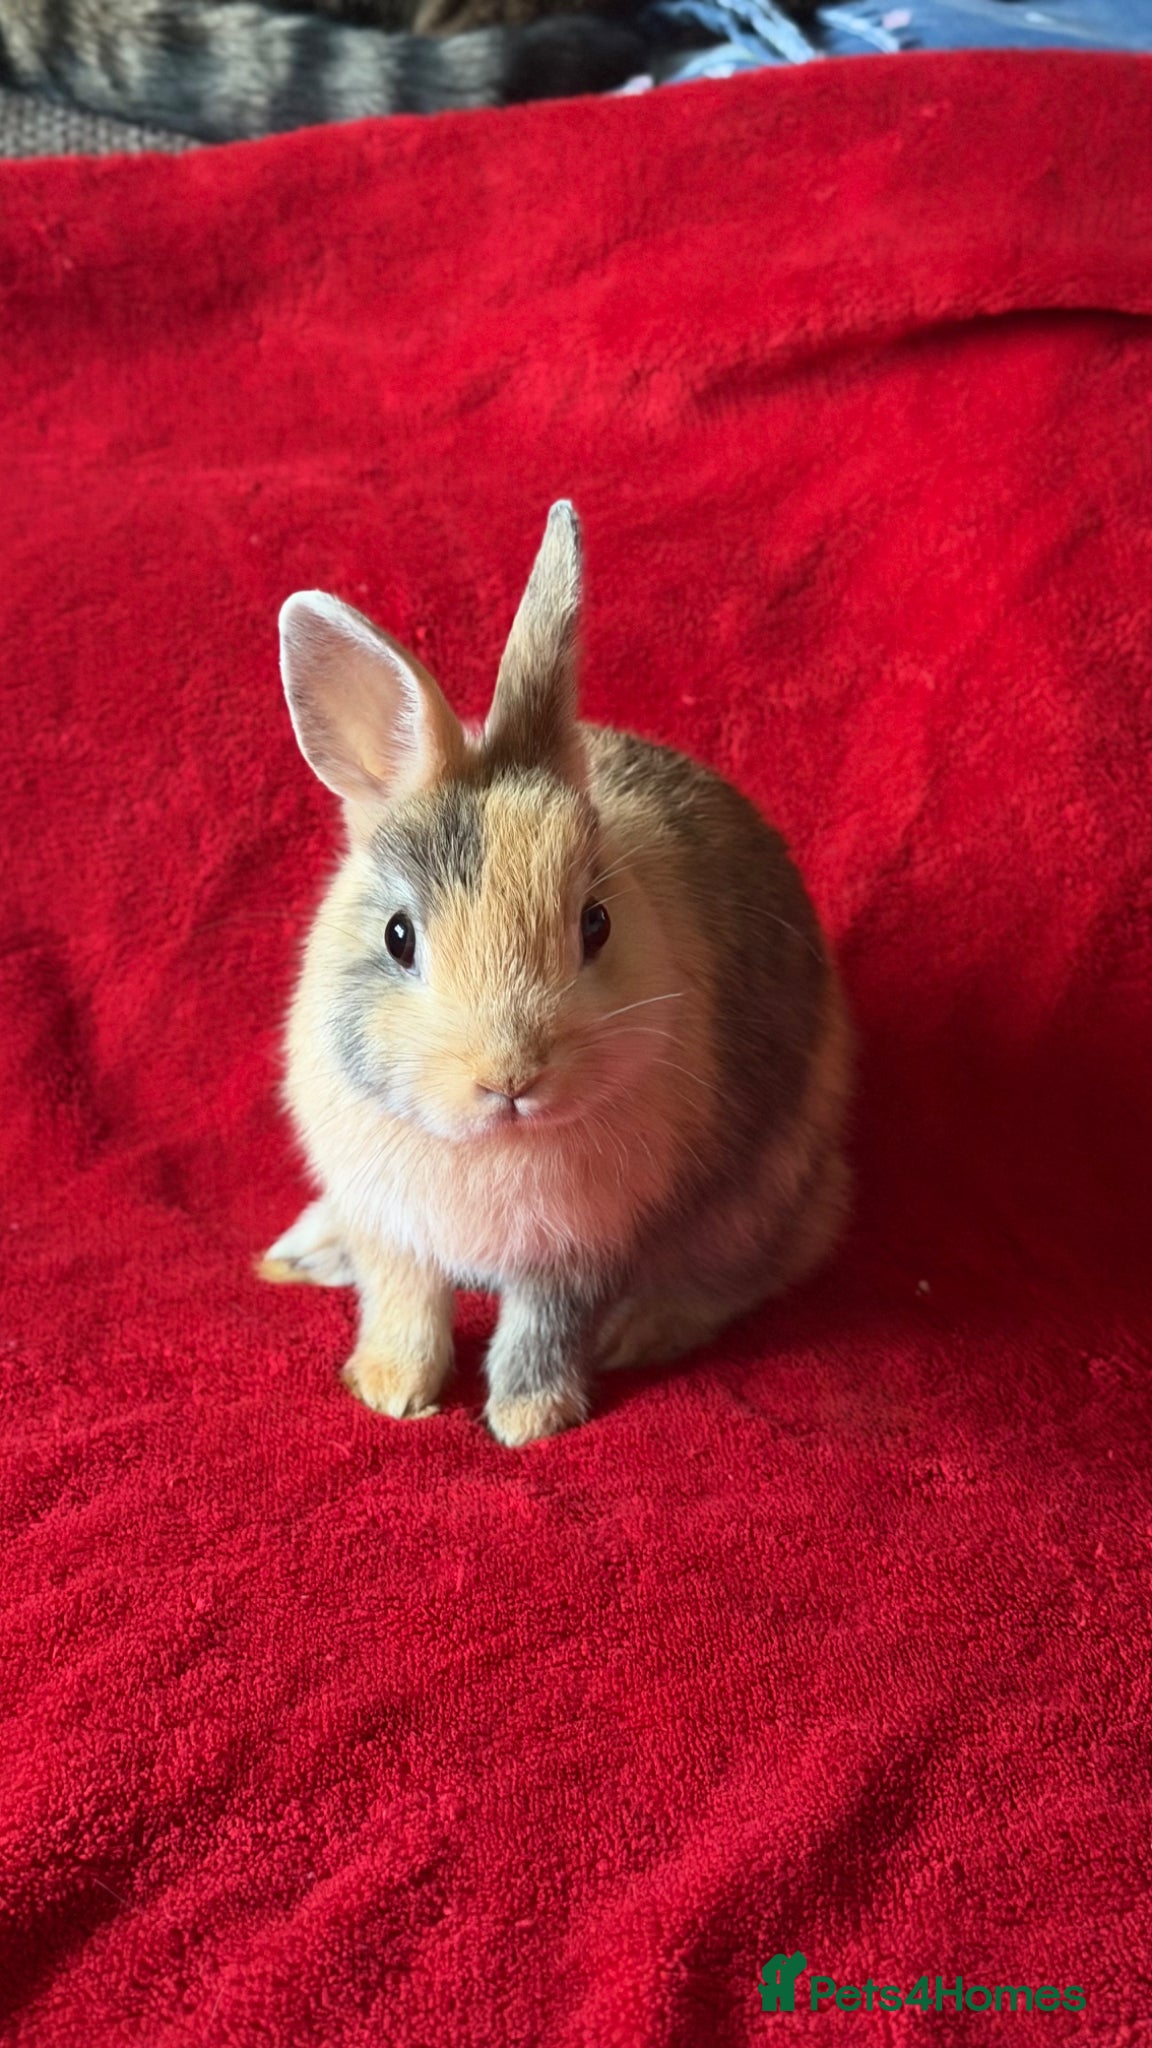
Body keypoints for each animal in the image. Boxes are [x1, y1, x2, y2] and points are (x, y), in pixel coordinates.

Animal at [259, 502, 852, 1446]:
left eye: (596, 924)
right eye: (398, 936)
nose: (510, 1077)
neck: (484, 1145)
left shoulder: (572, 1250)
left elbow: (544, 1327)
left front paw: (526, 1421)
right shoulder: (394, 1229)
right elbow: (404, 1305)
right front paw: (390, 1392)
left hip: (764, 1188)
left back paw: (643, 1328)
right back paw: (303, 1253)